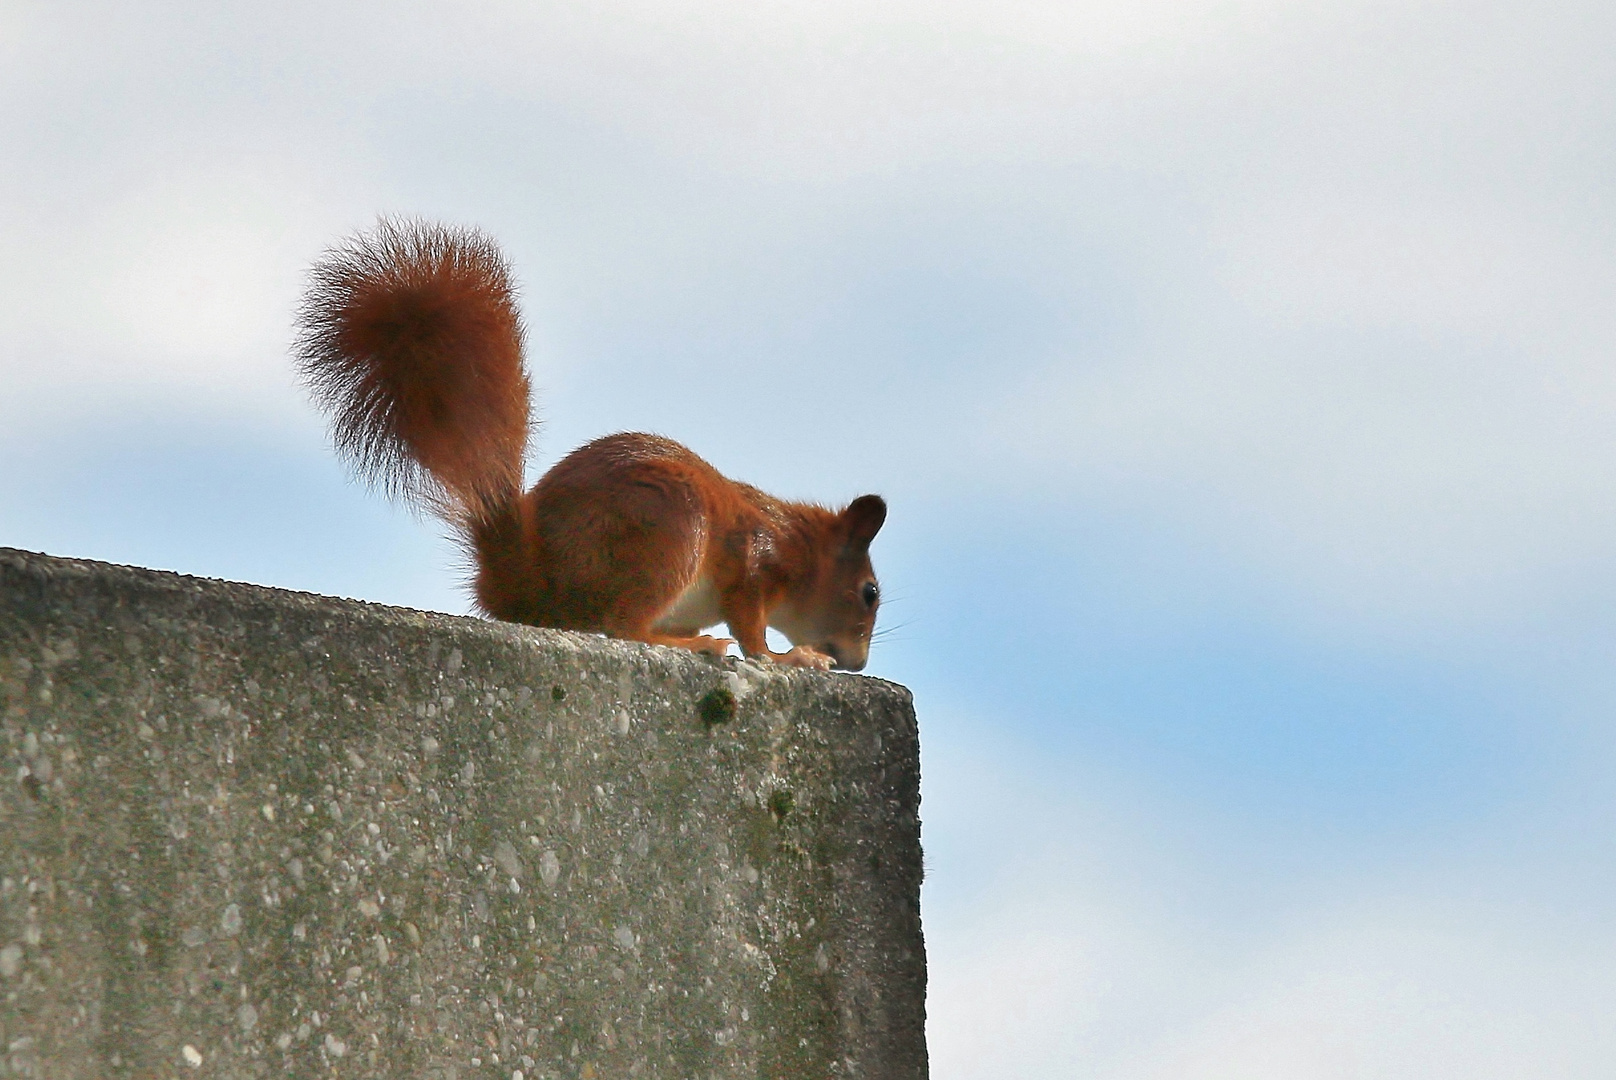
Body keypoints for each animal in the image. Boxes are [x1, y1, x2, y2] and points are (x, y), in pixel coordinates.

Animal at [297, 221, 892, 666]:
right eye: (870, 592)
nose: (857, 662)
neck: (795, 541)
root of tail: (527, 580)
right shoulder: (752, 564)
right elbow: (752, 634)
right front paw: (789, 657)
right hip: (671, 529)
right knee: (625, 626)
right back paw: (691, 644)